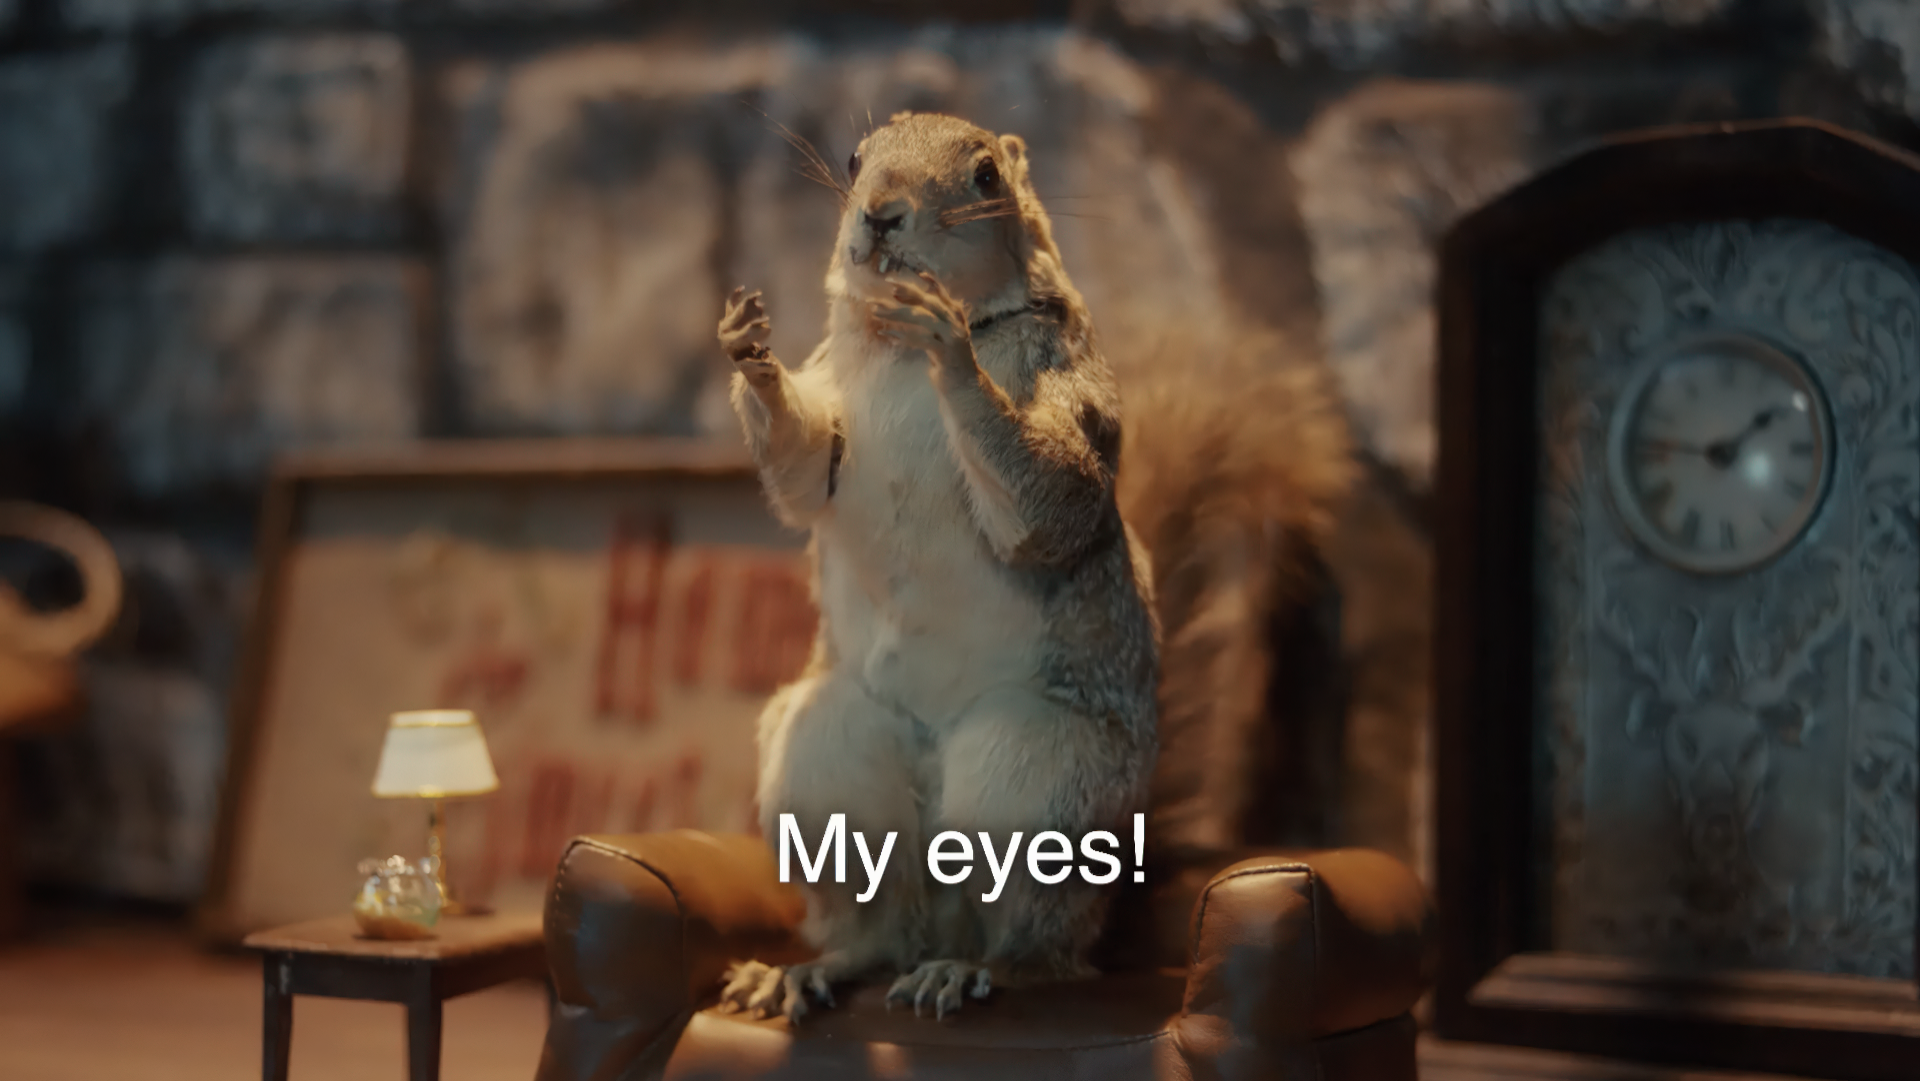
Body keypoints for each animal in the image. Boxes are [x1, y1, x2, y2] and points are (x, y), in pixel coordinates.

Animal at [714, 111, 1354, 1023]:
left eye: (985, 175)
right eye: (855, 156)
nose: (881, 213)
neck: (894, 349)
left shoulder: (1075, 398)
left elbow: (1050, 498)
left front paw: (953, 349)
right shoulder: (829, 406)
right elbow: (802, 472)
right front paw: (749, 349)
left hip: (1039, 776)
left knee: (1037, 945)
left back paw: (972, 970)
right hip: (827, 762)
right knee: (878, 932)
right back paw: (808, 970)